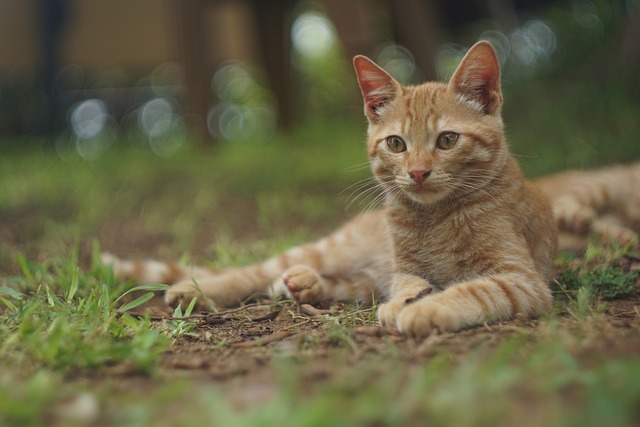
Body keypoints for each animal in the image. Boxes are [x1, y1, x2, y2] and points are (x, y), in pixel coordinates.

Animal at [102, 42, 636, 338]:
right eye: (397, 143)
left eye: (447, 140)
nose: (417, 173)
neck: (433, 217)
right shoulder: (407, 270)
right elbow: (411, 287)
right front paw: (412, 305)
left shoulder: (520, 277)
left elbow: (473, 289)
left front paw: (427, 309)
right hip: (332, 247)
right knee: (261, 268)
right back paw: (199, 290)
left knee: (339, 283)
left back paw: (302, 286)